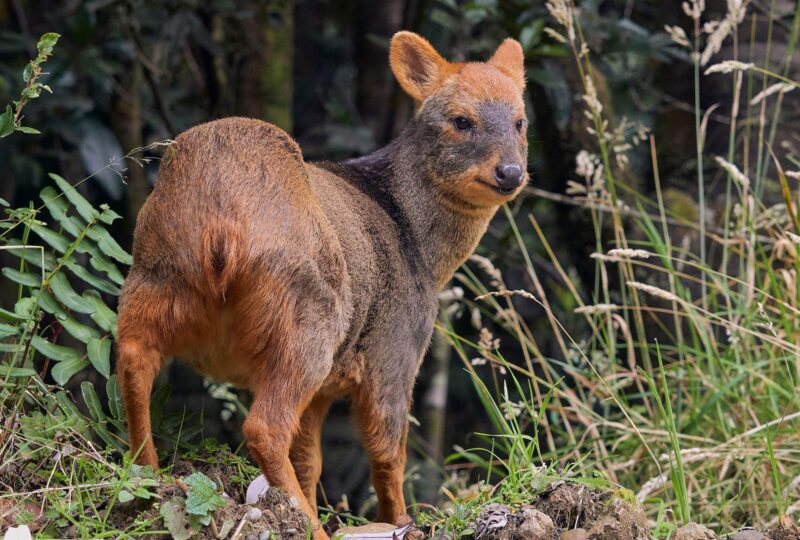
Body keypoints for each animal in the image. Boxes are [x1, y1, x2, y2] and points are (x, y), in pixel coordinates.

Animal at [117, 31, 532, 536]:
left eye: (520, 121)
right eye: (461, 121)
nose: (510, 173)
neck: (421, 246)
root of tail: (222, 217)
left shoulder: (325, 391)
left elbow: (311, 460)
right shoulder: (395, 351)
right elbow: (387, 455)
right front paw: (400, 521)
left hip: (152, 276)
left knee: (133, 360)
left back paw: (148, 474)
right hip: (307, 318)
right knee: (264, 427)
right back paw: (309, 525)